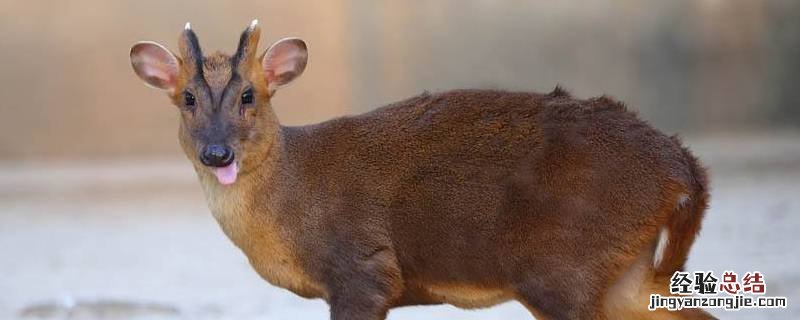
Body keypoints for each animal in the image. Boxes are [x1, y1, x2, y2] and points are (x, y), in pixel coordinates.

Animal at [130, 21, 712, 318]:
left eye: (249, 95)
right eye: (186, 99)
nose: (217, 154)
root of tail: (684, 168)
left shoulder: (364, 269)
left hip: (564, 266)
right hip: (626, 274)